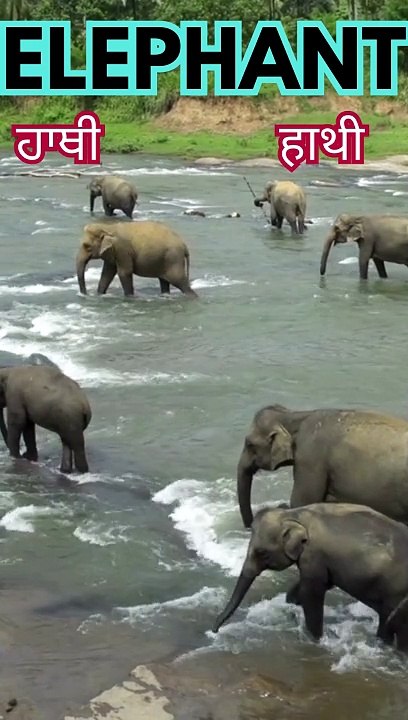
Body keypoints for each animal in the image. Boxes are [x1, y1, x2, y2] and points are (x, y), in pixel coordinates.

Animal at [212, 503, 408, 651]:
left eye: (262, 553)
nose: (214, 629)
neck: (295, 514)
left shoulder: (314, 555)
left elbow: (312, 592)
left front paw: (316, 640)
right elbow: (318, 585)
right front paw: (291, 605)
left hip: (396, 593)